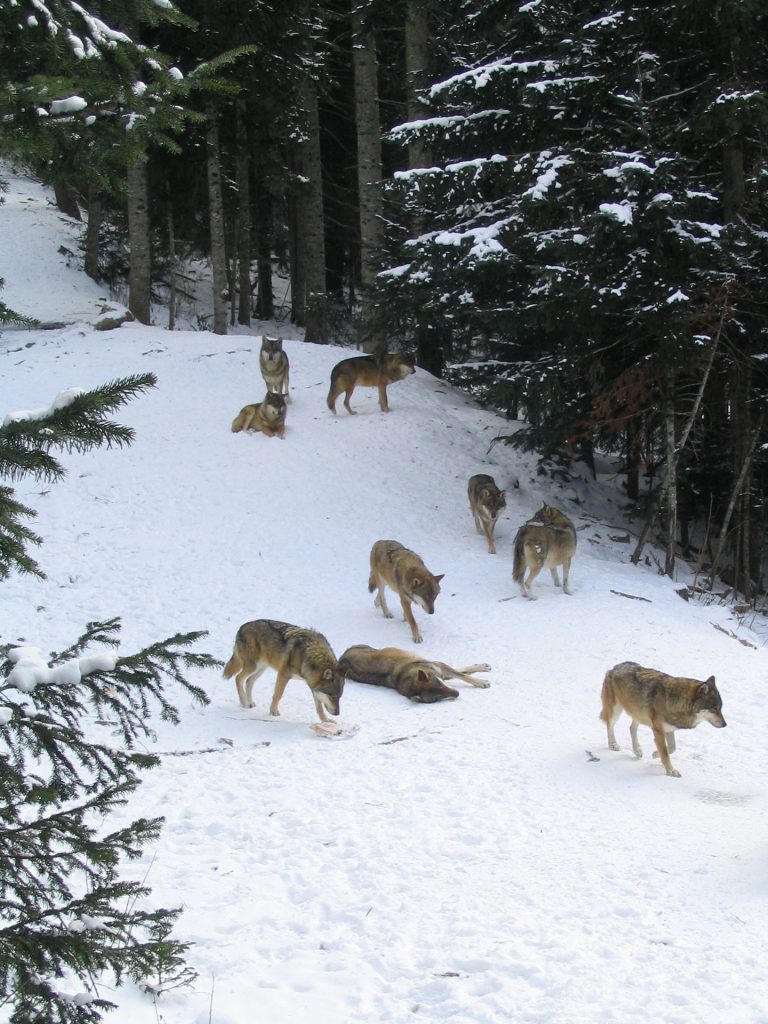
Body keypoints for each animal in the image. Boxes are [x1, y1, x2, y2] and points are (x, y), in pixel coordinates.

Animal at [342, 647, 493, 704]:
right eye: (437, 698)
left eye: (439, 685)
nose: (457, 694)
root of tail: (342, 659)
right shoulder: (441, 671)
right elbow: (462, 674)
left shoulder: (440, 669)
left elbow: (464, 676)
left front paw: (481, 682)